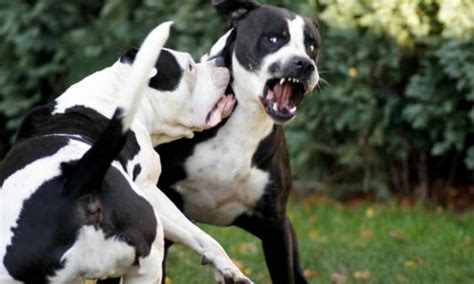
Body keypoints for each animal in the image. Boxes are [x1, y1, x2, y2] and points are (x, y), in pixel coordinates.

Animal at [0, 22, 252, 284]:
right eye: (190, 67)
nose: (221, 62)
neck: (112, 93)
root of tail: (77, 185)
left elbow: (197, 235)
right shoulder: (150, 189)